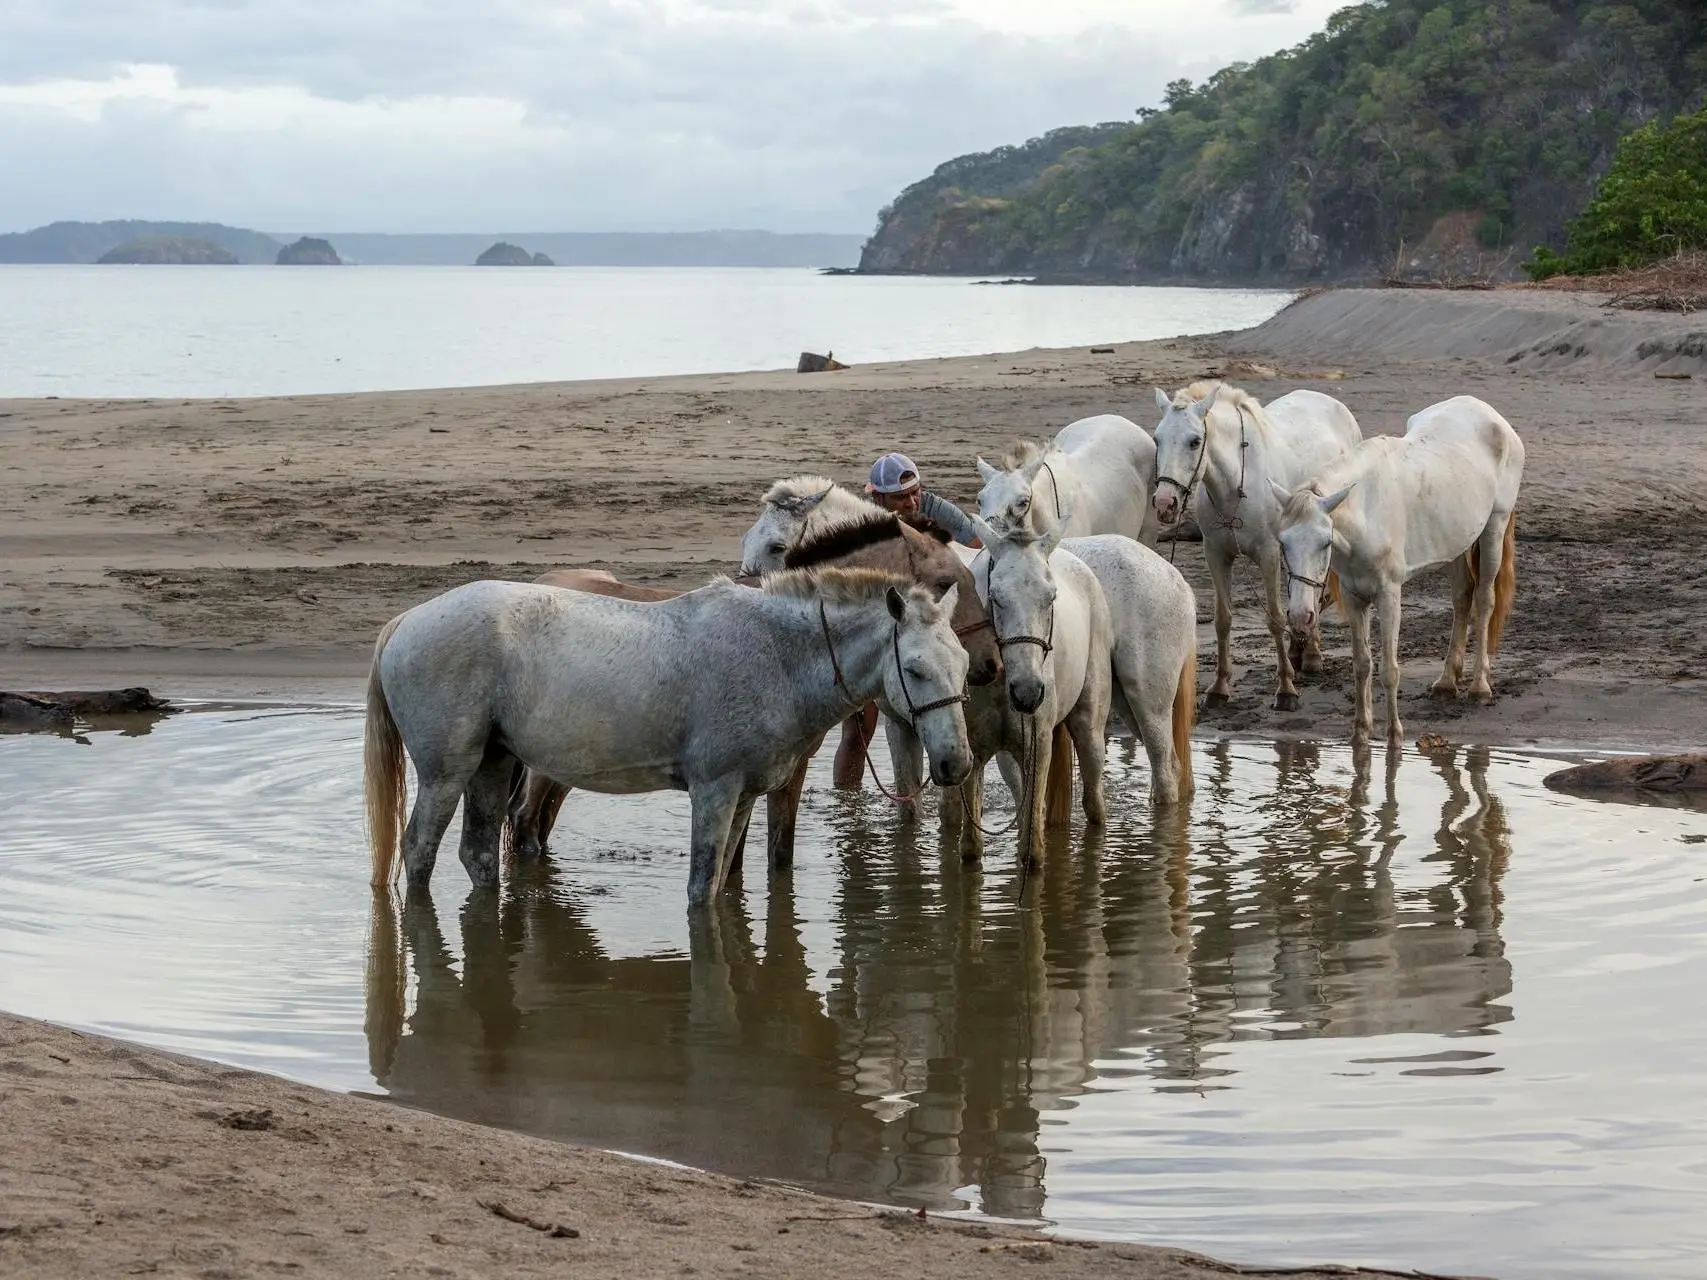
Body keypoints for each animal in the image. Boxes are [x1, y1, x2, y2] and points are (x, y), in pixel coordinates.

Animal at [360, 570, 976, 914]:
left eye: (965, 665)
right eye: (915, 669)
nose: (955, 764)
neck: (775, 653)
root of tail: (406, 621)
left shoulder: (744, 796)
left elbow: (722, 885)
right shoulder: (714, 791)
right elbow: (702, 888)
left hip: (492, 764)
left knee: (480, 854)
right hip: (447, 774)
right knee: (418, 851)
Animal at [512, 512, 1003, 873]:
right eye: (945, 583)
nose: (991, 664)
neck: (787, 641)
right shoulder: (778, 772)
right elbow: (776, 852)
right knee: (525, 823)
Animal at [1147, 385, 1358, 716]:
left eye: (1194, 441)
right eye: (1157, 439)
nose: (1165, 503)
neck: (1235, 486)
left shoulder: (1269, 555)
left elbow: (1274, 619)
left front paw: (1286, 689)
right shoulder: (1216, 555)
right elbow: (1223, 620)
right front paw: (1219, 688)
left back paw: (1310, 655)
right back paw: (1299, 652)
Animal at [1276, 395, 1529, 747]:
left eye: (1325, 542)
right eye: (1282, 543)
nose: (1300, 617)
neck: (1367, 511)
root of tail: (1490, 414)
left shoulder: (1389, 595)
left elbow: (1389, 669)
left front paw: (1395, 737)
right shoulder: (1354, 597)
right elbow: (1362, 664)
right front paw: (1361, 733)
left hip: (1494, 527)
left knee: (1484, 601)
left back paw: (1480, 687)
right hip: (1457, 541)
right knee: (1461, 600)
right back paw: (1446, 682)